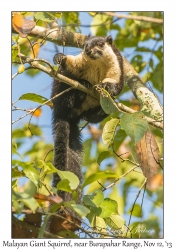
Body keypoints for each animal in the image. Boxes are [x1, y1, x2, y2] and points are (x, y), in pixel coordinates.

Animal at [48, 35, 123, 232]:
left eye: (101, 44)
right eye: (85, 45)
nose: (88, 50)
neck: (97, 62)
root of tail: (67, 115)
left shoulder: (117, 67)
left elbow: (116, 85)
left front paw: (107, 87)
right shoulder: (79, 63)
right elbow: (71, 65)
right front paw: (59, 58)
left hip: (91, 111)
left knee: (93, 116)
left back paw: (101, 108)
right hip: (61, 92)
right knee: (68, 93)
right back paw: (82, 88)